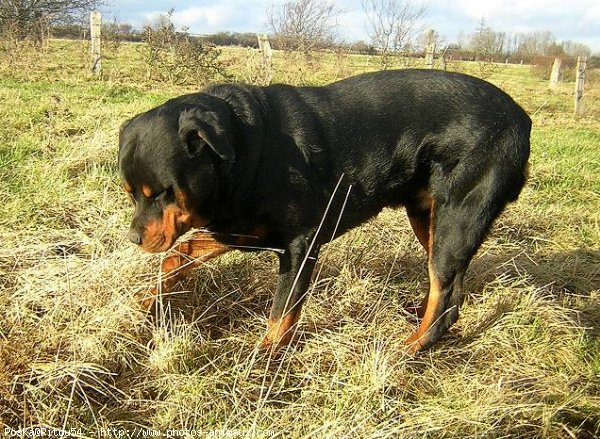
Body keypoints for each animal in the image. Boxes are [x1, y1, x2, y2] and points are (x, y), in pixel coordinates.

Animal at [117, 71, 528, 354]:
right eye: (130, 193)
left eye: (164, 193)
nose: (134, 237)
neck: (244, 149)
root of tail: (522, 120)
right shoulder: (241, 228)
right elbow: (178, 255)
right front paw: (147, 298)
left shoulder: (300, 245)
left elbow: (282, 312)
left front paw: (264, 360)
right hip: (427, 218)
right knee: (449, 288)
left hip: (456, 220)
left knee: (445, 295)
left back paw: (410, 347)